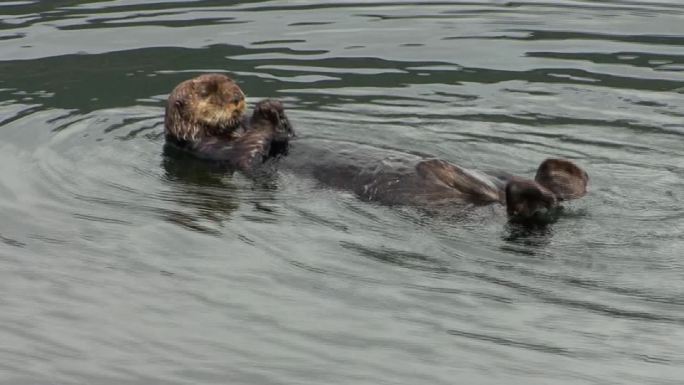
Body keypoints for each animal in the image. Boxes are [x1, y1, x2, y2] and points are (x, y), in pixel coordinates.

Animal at [166, 73, 296, 170]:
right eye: (205, 93)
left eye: (231, 81)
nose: (237, 98)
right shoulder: (211, 148)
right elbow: (247, 158)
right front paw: (265, 110)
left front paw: (272, 104)